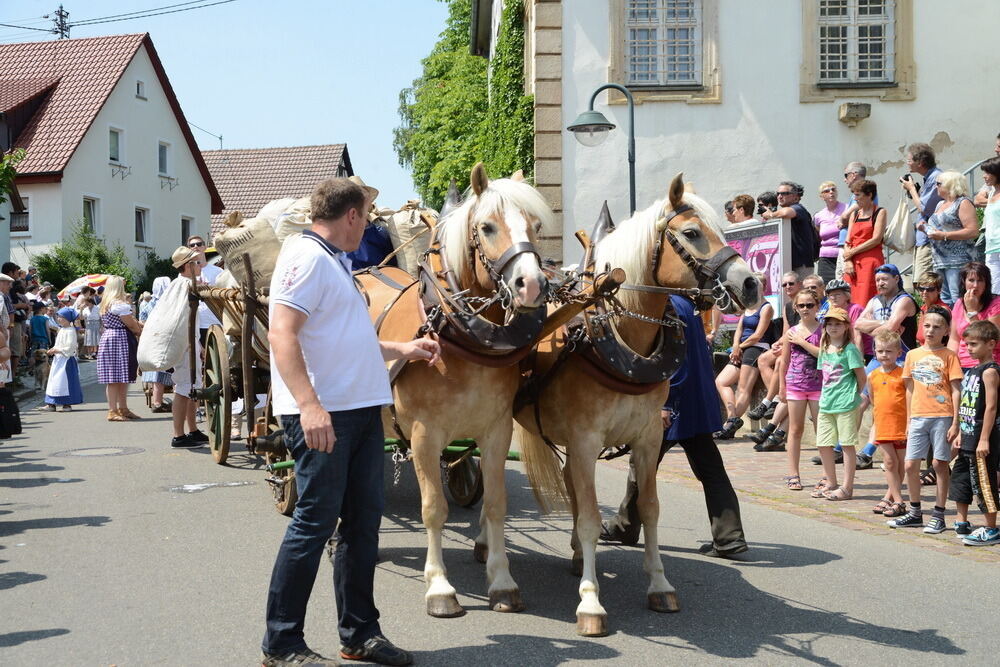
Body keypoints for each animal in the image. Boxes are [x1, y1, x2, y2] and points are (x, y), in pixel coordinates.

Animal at [354, 163, 556, 620]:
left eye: (535, 226)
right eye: (486, 226)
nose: (533, 286)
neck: (458, 336)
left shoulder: (496, 430)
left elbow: (496, 504)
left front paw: (502, 582)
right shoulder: (424, 436)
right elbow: (434, 510)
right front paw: (440, 588)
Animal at [516, 172, 756, 636]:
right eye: (692, 233)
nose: (751, 284)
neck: (618, 336)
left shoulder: (647, 438)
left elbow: (648, 509)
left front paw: (659, 585)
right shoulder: (586, 441)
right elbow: (591, 519)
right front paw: (591, 603)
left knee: (571, 489)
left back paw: (575, 557)